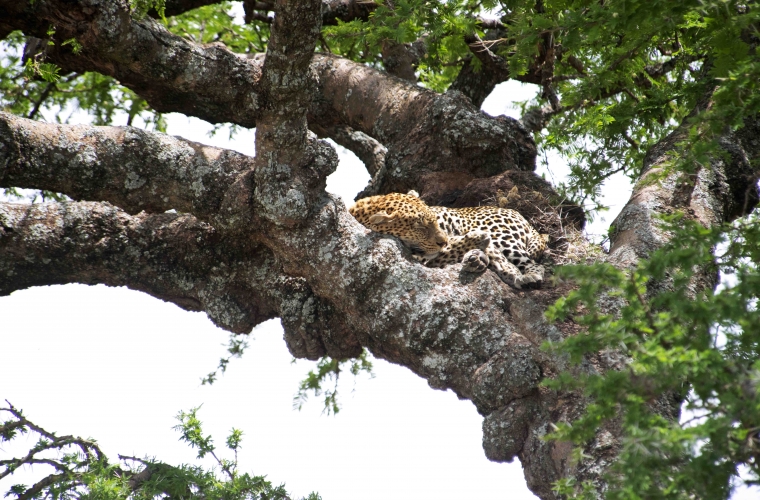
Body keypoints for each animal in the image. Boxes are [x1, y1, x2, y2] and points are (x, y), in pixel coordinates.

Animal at [348, 189, 548, 288]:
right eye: (419, 227)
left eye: (434, 220)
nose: (442, 241)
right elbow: (448, 251)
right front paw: (475, 244)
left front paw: (513, 274)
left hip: (501, 236)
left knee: (532, 263)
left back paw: (528, 275)